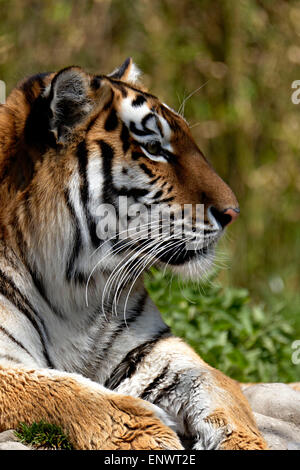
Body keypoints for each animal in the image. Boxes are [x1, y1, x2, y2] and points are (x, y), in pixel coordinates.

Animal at [0, 58, 268, 452]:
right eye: (154, 147)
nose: (232, 212)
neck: (72, 285)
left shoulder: (151, 349)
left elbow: (215, 387)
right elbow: (69, 391)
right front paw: (152, 437)